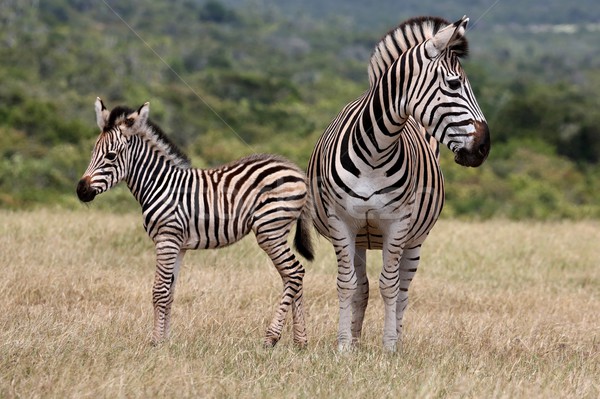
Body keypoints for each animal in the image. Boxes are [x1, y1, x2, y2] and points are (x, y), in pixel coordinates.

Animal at [76, 98, 314, 348]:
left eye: (111, 156)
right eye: (93, 152)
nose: (81, 190)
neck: (159, 184)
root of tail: (296, 170)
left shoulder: (166, 238)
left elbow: (159, 291)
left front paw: (156, 342)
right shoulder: (178, 245)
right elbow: (169, 292)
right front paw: (166, 339)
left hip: (270, 229)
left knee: (294, 272)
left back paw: (271, 337)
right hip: (276, 231)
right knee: (291, 276)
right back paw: (300, 341)